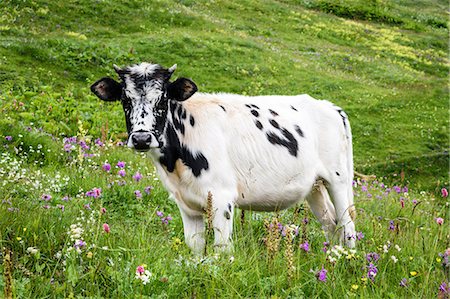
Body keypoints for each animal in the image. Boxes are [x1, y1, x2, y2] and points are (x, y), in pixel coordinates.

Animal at [91, 62, 356, 254]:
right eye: (125, 99)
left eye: (163, 98)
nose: (142, 138)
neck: (175, 163)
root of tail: (330, 107)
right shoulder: (186, 205)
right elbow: (196, 249)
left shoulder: (222, 197)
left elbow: (222, 251)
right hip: (314, 187)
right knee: (331, 224)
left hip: (339, 179)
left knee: (348, 225)